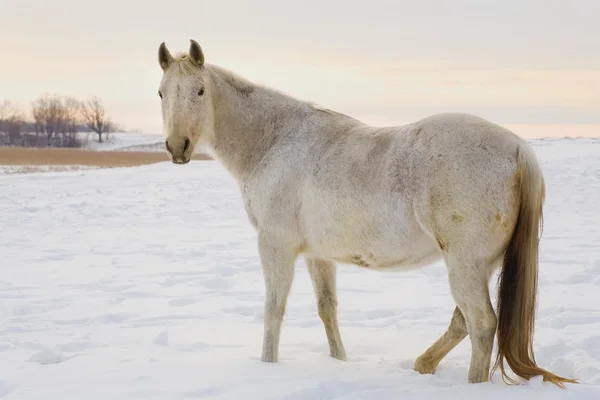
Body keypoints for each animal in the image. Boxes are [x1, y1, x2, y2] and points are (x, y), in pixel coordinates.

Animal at [155, 39, 576, 388]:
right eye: (161, 92)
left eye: (200, 91)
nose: (178, 147)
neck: (273, 142)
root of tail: (518, 148)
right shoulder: (318, 255)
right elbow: (327, 310)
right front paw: (339, 362)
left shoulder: (275, 246)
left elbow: (274, 311)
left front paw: (268, 367)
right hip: (480, 265)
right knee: (463, 321)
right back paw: (424, 364)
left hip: (465, 264)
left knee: (481, 324)